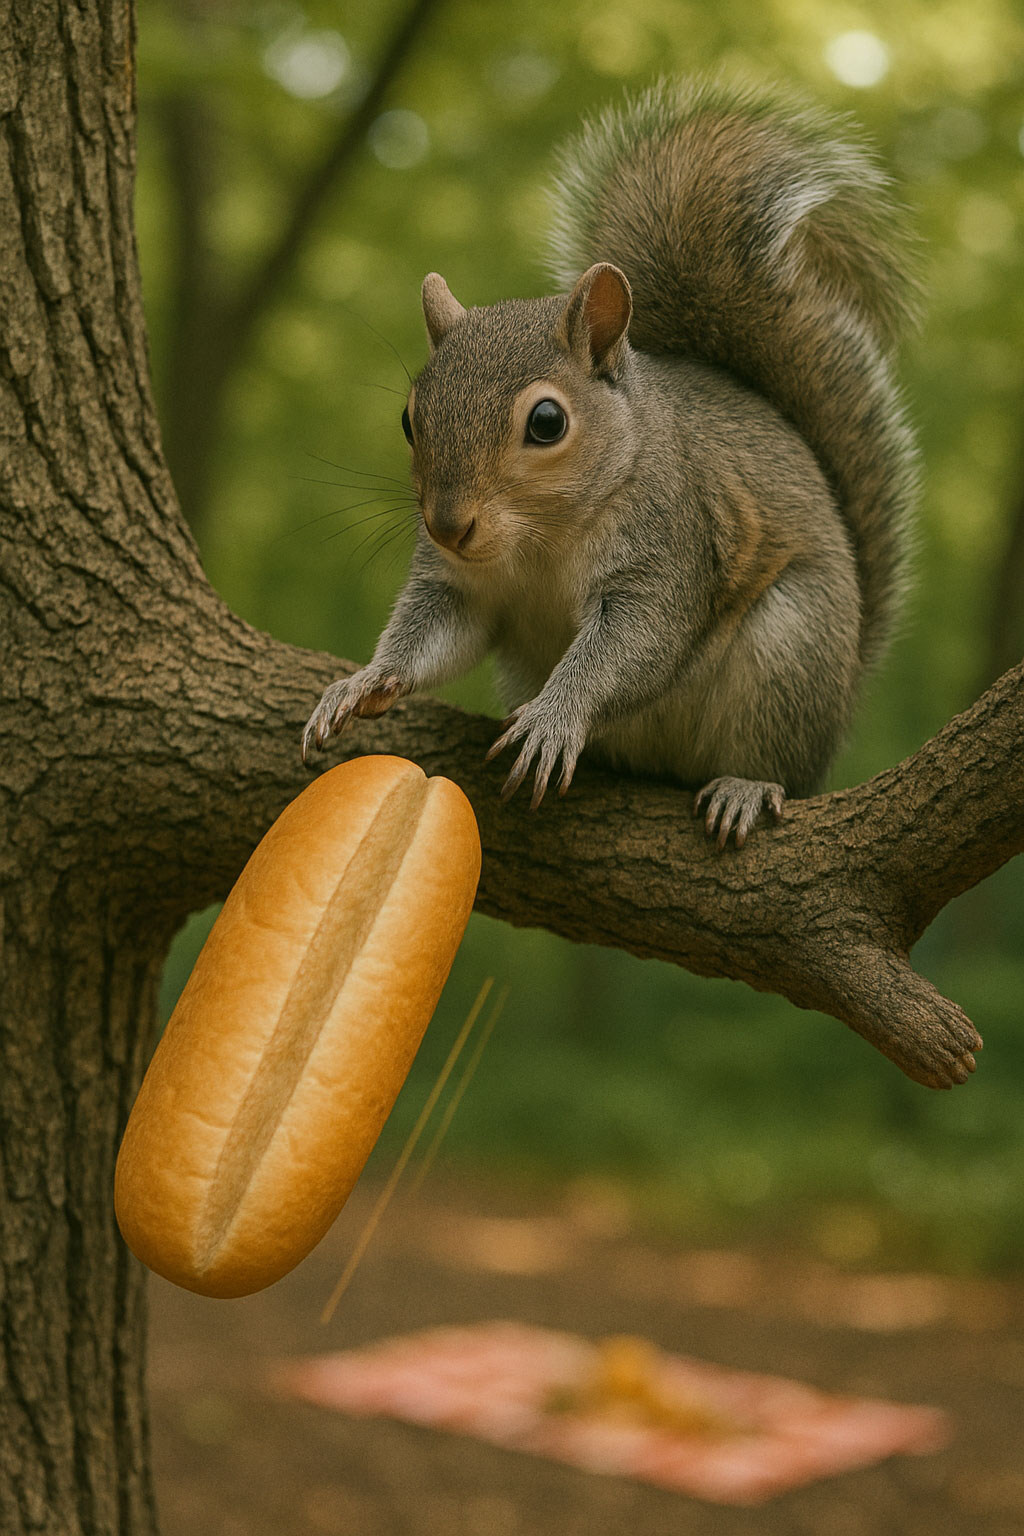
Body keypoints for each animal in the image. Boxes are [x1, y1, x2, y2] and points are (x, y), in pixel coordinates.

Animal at [302, 78, 918, 848]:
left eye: (547, 422)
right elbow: (438, 633)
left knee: (774, 756)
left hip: (793, 646)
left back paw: (745, 786)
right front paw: (364, 682)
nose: (447, 527)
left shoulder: (672, 544)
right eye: (410, 419)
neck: (541, 537)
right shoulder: (461, 583)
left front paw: (554, 716)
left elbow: (634, 644)